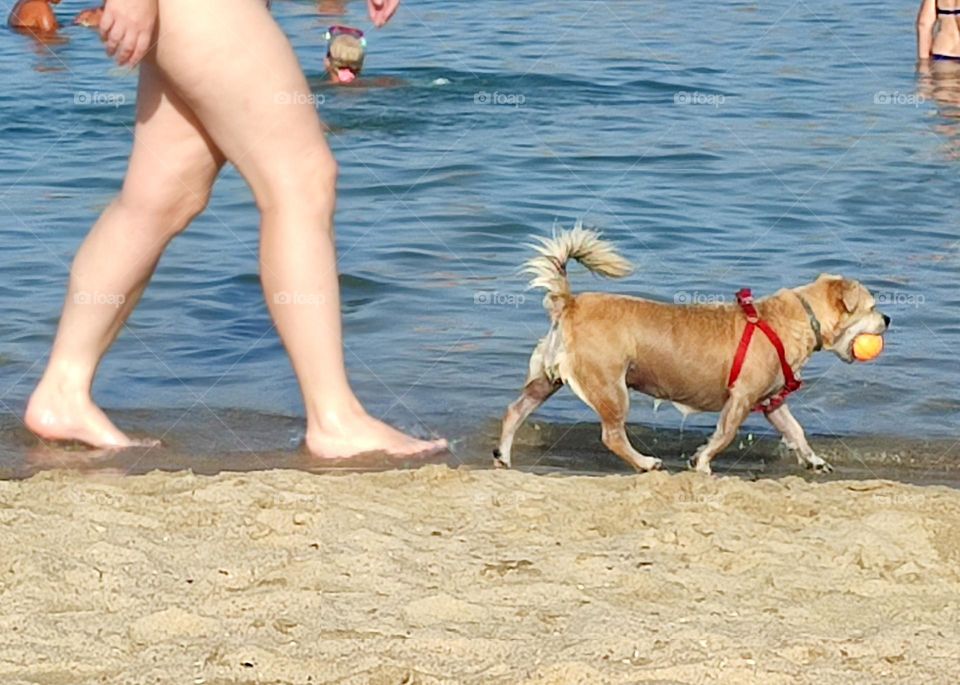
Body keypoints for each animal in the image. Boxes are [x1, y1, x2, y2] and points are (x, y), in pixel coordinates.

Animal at [496, 224, 892, 476]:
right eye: (872, 307)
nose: (888, 318)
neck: (796, 316)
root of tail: (570, 303)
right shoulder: (741, 398)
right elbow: (724, 435)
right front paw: (701, 462)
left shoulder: (771, 401)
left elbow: (795, 431)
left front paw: (814, 460)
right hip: (609, 385)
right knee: (612, 435)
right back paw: (646, 463)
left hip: (547, 380)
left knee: (516, 410)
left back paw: (503, 456)